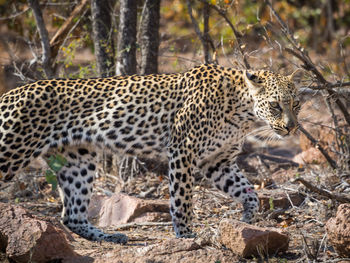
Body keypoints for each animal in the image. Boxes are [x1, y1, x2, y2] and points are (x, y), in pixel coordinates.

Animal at [0, 64, 300, 245]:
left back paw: (109, 237)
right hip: (10, 150)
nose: (291, 127)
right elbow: (182, 199)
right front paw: (186, 234)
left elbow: (249, 193)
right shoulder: (183, 150)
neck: (243, 112)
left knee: (72, 216)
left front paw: (246, 220)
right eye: (275, 105)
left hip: (79, 161)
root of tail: (9, 94)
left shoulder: (218, 161)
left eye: (296, 104)